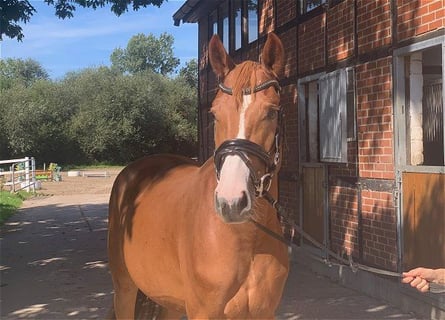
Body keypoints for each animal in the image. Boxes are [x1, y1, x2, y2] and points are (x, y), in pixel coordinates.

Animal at [107, 33, 288, 318]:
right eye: (214, 113)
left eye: (272, 112)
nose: (231, 202)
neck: (246, 240)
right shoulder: (203, 311)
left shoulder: (264, 312)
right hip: (124, 287)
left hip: (169, 300)